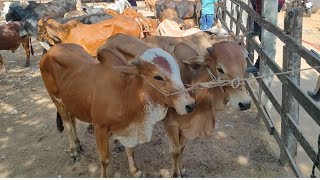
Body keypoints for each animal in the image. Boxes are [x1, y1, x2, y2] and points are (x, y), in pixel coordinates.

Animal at [40, 41, 195, 177]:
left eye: (179, 73)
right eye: (158, 77)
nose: (190, 104)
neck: (126, 94)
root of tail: (51, 49)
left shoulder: (128, 128)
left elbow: (130, 150)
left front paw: (135, 170)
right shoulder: (99, 128)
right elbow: (104, 160)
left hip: (71, 101)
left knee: (72, 120)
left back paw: (78, 144)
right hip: (56, 100)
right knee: (67, 125)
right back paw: (73, 150)